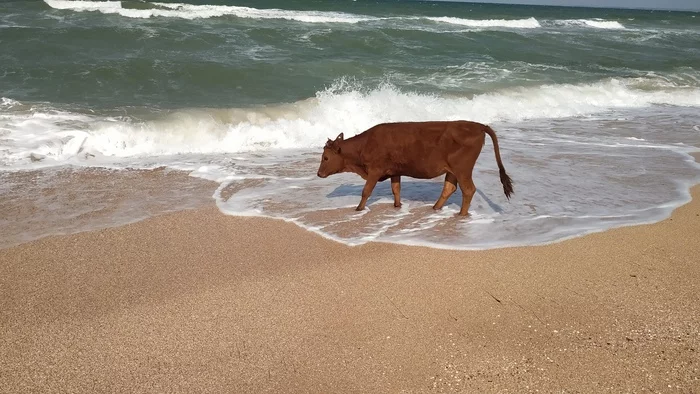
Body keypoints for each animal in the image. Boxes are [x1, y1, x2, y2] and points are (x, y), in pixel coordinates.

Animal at [318, 120, 516, 215]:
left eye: (326, 157)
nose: (319, 173)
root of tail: (478, 125)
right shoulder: (395, 171)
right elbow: (396, 189)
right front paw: (397, 205)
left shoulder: (375, 170)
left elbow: (366, 191)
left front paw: (358, 209)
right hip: (452, 170)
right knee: (449, 188)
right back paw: (435, 208)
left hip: (463, 169)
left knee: (468, 190)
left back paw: (461, 214)